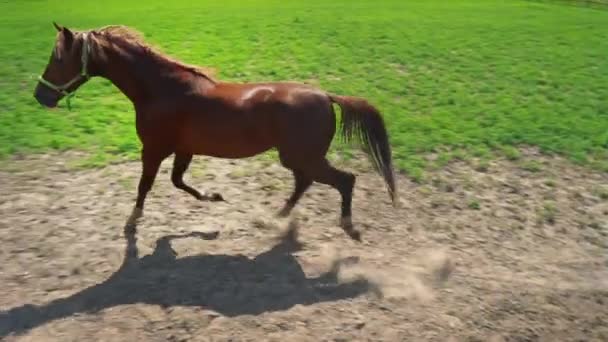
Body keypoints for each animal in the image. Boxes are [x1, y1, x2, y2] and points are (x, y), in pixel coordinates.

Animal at [33, 22, 396, 242]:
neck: (161, 89)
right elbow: (178, 182)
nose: (41, 96)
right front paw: (214, 198)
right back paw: (276, 218)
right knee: (304, 182)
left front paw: (132, 221)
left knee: (344, 180)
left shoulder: (153, 149)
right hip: (295, 157)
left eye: (58, 58)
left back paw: (347, 226)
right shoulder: (183, 149)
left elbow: (146, 185)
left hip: (302, 156)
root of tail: (326, 96)